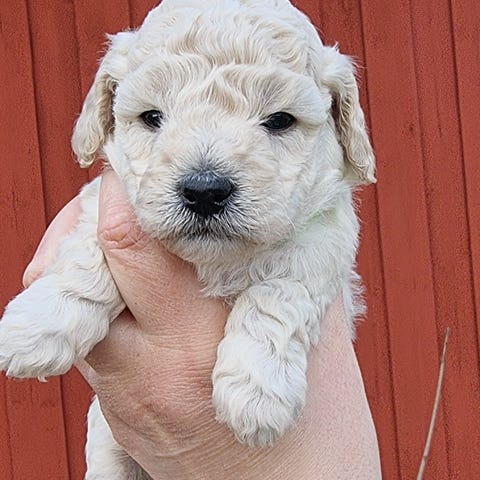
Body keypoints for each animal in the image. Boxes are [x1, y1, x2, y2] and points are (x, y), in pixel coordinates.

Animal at [0, 0, 375, 477]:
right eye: (152, 117)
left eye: (280, 120)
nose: (205, 190)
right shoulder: (106, 199)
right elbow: (86, 255)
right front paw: (38, 324)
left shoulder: (326, 235)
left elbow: (281, 289)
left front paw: (257, 389)